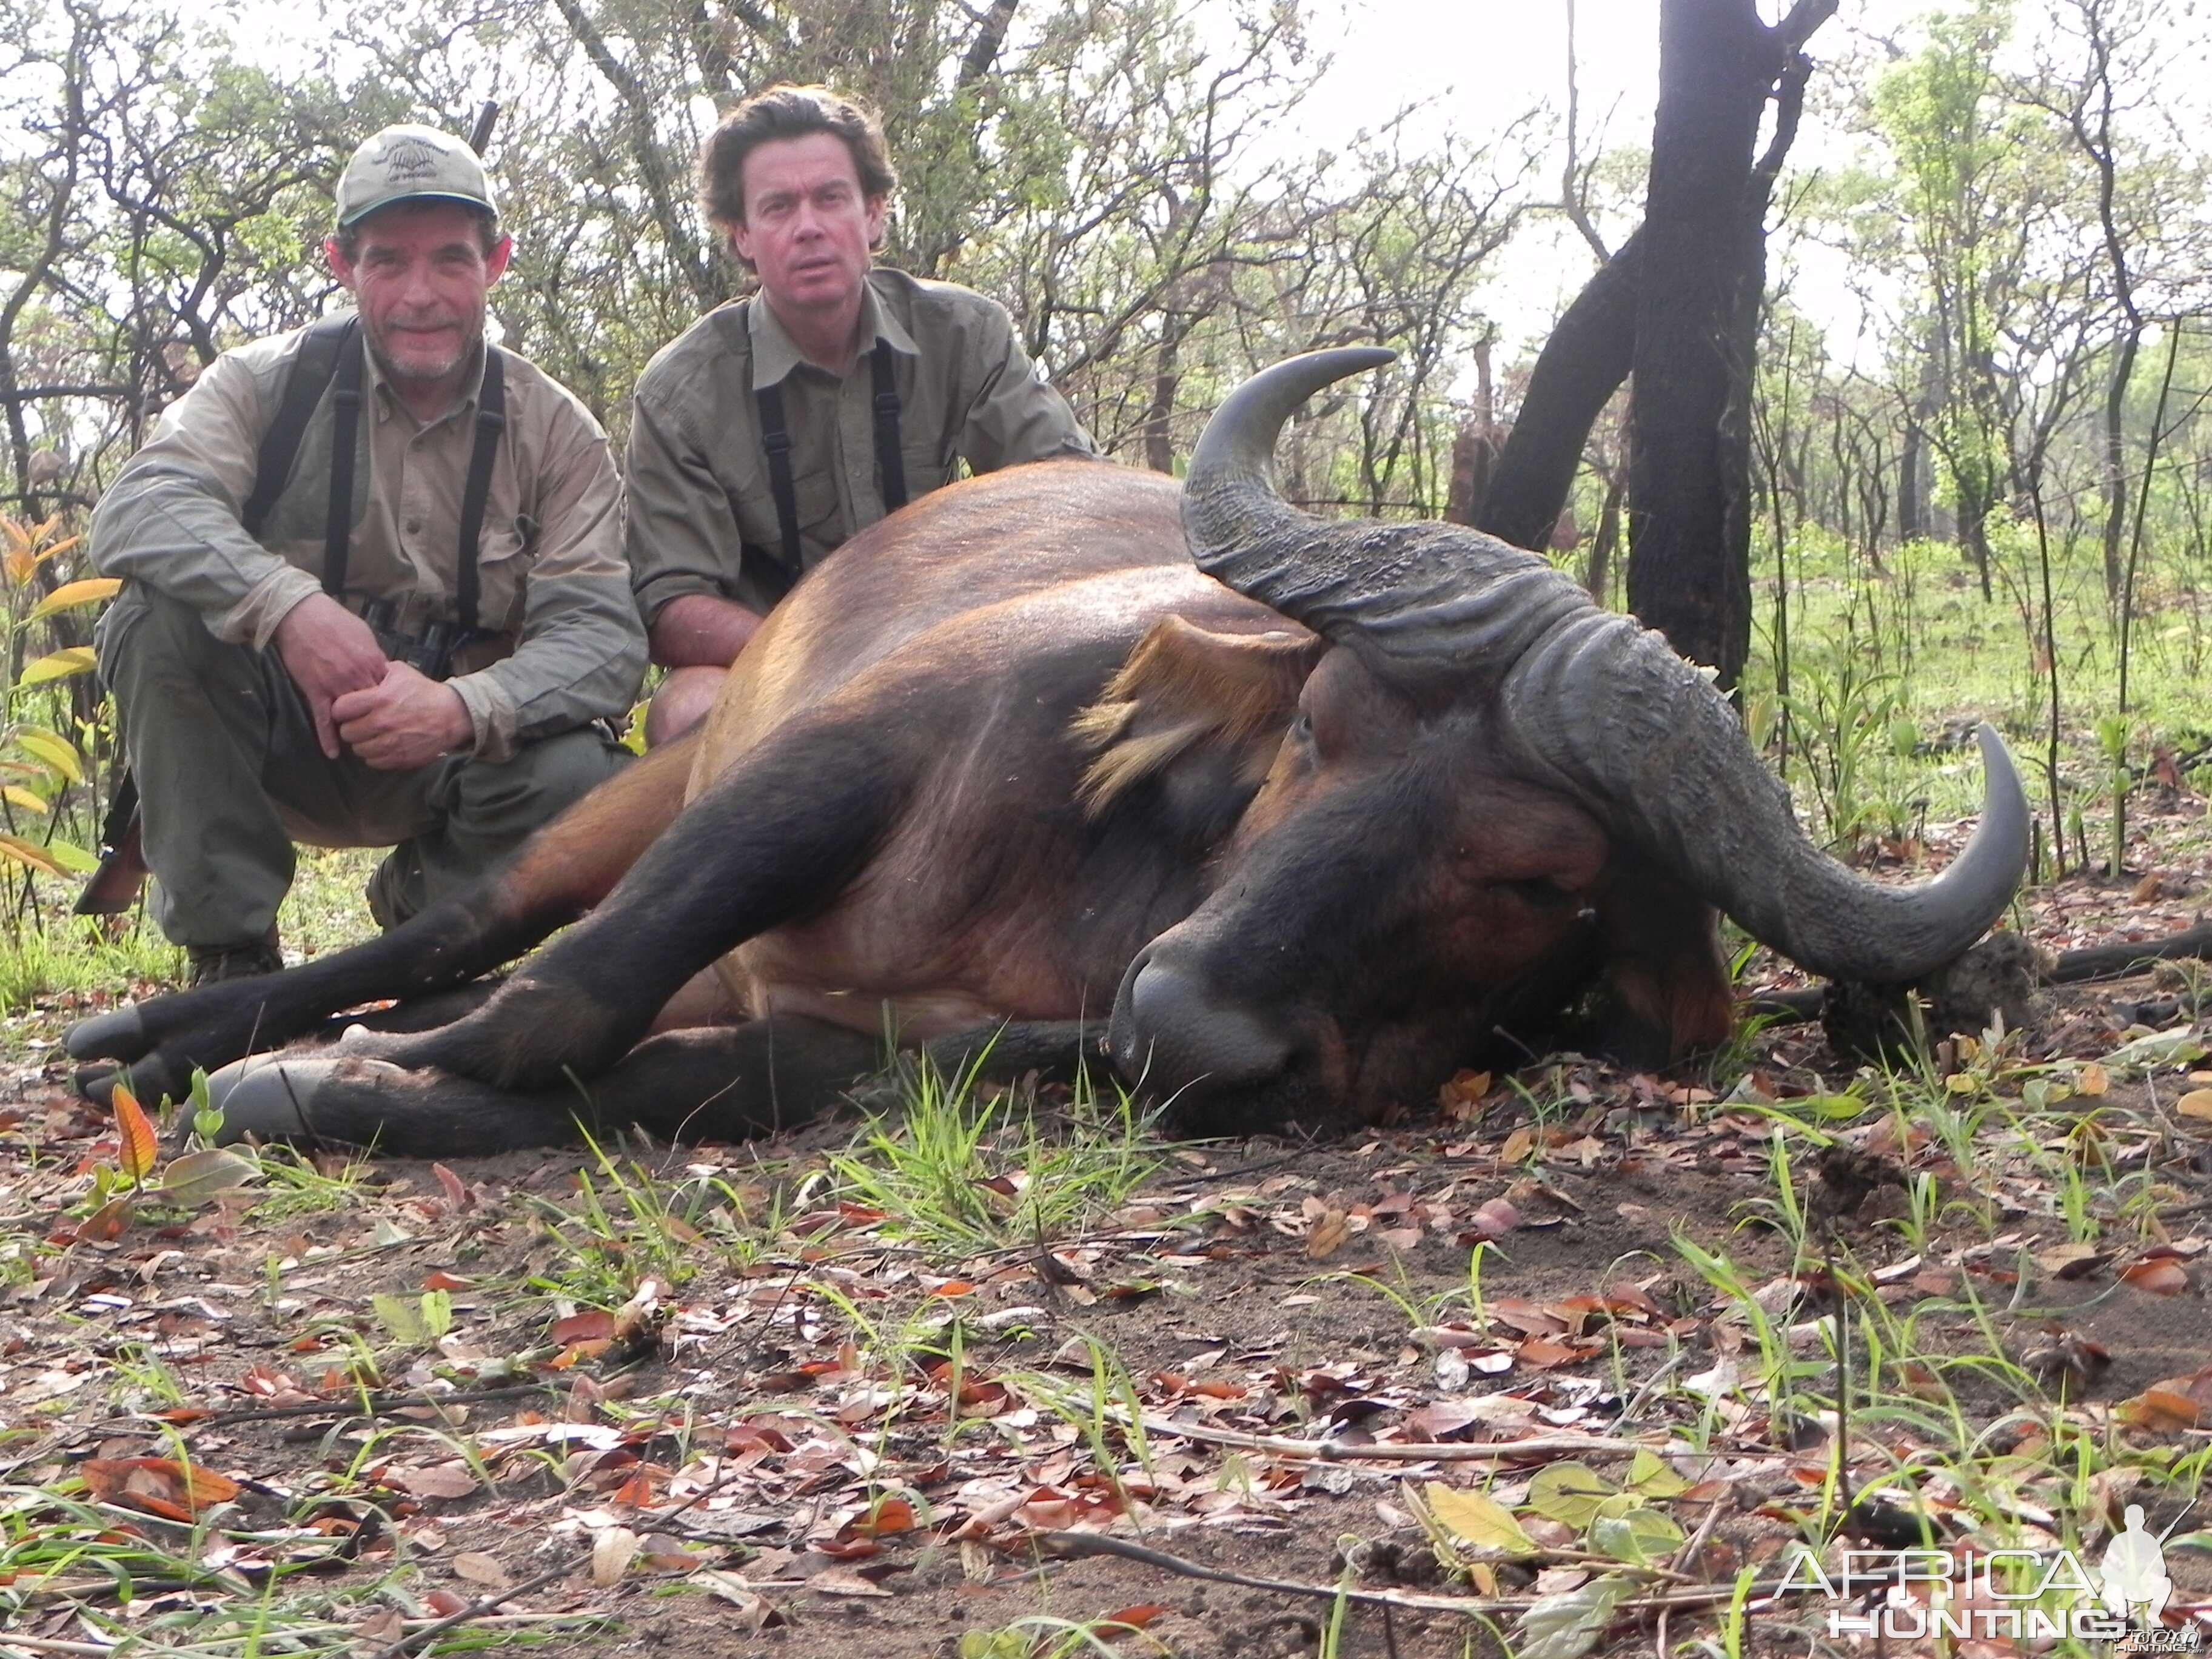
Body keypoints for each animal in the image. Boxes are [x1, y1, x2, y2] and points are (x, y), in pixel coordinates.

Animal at [73, 352, 2026, 1159]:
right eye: (1321, 728)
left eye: (1538, 875)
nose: (1192, 1018)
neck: (1102, 896)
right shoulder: (838, 760)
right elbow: (567, 993)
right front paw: (344, 1067)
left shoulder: (921, 1049)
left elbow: (708, 1073)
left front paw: (362, 1092)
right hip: (623, 797)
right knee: (459, 929)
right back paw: (156, 1035)